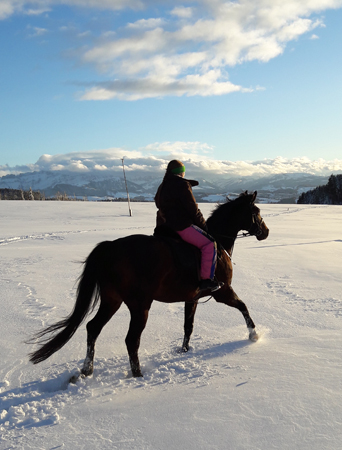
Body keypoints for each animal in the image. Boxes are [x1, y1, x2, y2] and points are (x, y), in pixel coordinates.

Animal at [28, 190, 270, 380]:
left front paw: (184, 350)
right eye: (257, 211)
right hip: (139, 305)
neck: (218, 244)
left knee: (93, 328)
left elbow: (188, 325)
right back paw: (137, 374)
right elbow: (243, 306)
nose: (266, 232)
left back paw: (87, 370)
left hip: (111, 300)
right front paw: (254, 335)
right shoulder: (223, 291)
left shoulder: (191, 297)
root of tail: (110, 248)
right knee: (131, 339)